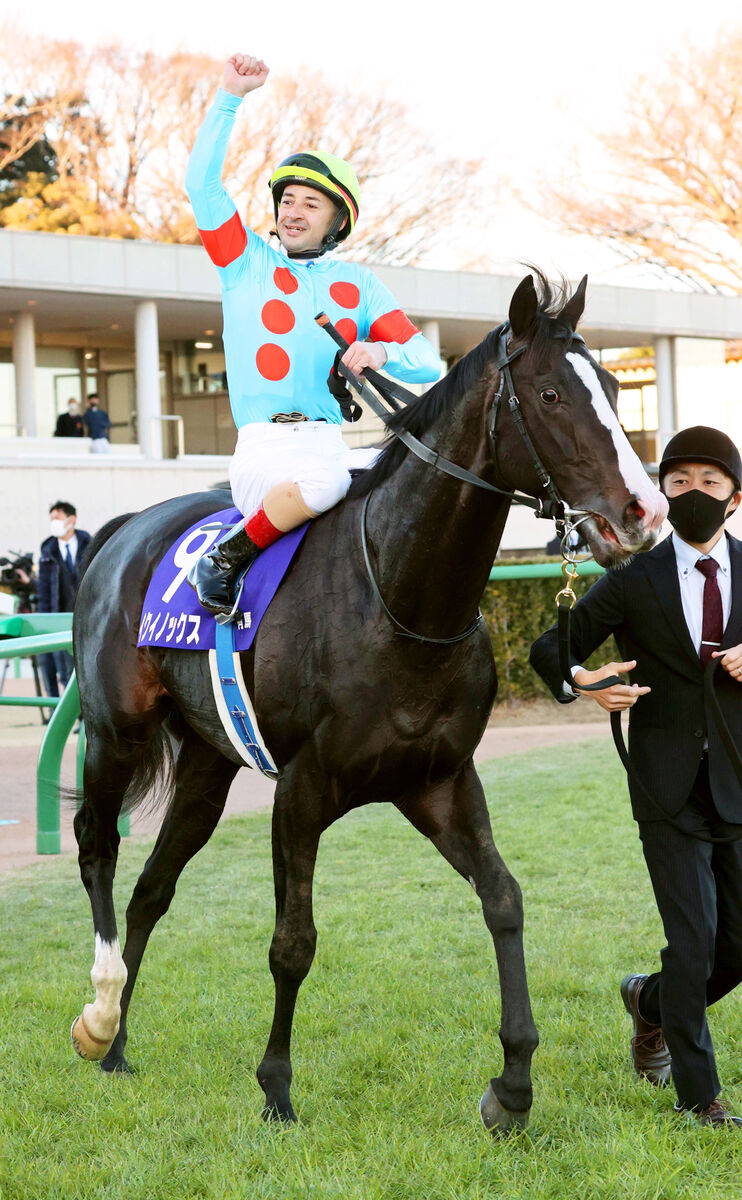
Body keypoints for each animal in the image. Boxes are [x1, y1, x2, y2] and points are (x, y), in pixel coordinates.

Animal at [69, 271, 668, 1134]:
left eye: (618, 390)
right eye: (552, 393)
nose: (645, 512)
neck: (399, 595)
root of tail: (120, 530)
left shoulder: (438, 780)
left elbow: (504, 899)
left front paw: (514, 1082)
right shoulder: (302, 789)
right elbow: (293, 942)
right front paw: (276, 1087)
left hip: (210, 764)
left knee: (152, 886)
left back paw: (117, 1045)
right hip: (116, 731)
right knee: (96, 848)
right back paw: (100, 1011)